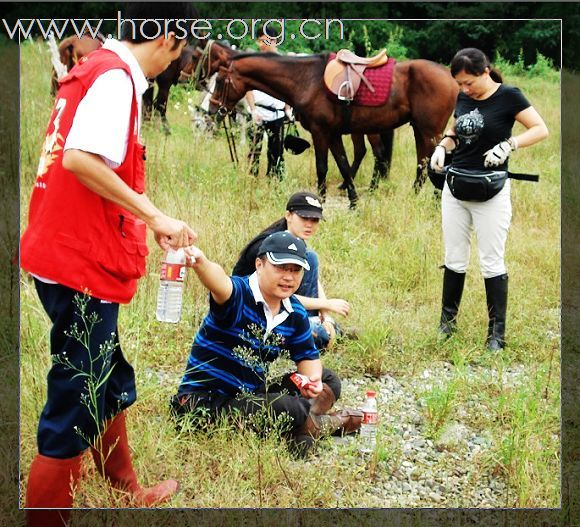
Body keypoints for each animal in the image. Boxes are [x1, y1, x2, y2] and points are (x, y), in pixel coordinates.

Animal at [212, 52, 458, 206]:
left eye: (221, 81)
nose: (215, 109)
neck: (306, 80)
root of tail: (450, 76)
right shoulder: (334, 134)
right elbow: (344, 166)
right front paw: (353, 202)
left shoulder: (321, 132)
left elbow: (323, 167)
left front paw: (320, 201)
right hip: (420, 130)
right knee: (421, 164)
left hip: (429, 132)